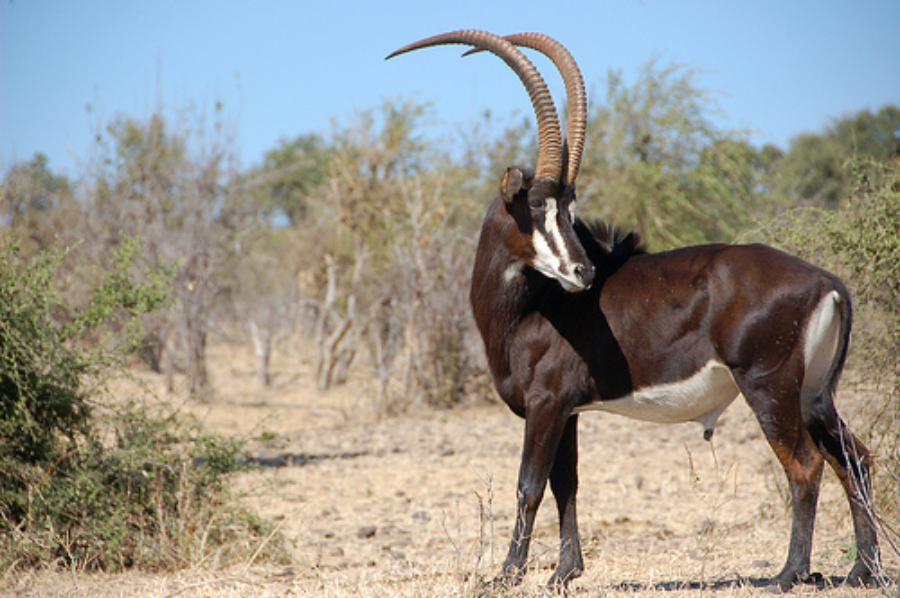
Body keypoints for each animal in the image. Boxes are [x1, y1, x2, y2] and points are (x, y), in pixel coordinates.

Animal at [384, 30, 880, 592]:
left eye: (568, 210)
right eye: (536, 207)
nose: (582, 272)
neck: (530, 306)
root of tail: (828, 283)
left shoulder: (546, 403)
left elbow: (529, 485)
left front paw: (508, 574)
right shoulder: (568, 411)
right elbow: (567, 485)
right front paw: (564, 573)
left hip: (769, 386)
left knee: (805, 465)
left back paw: (789, 573)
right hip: (814, 394)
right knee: (855, 460)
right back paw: (863, 569)